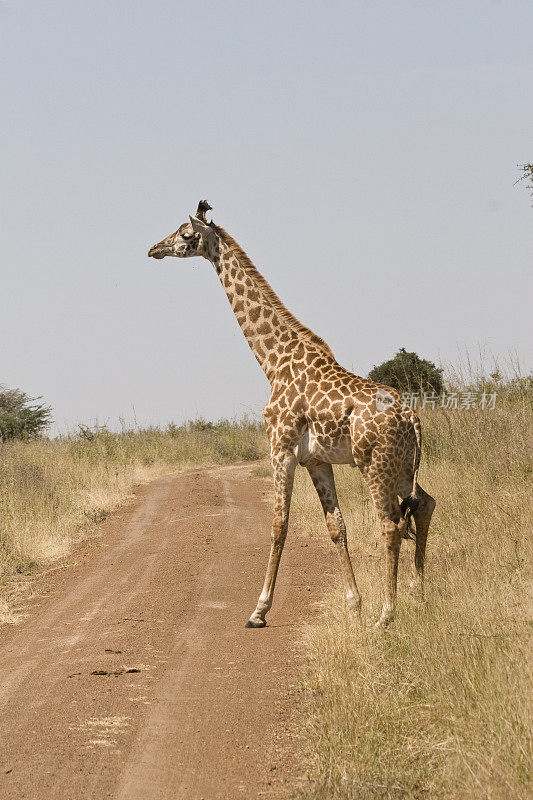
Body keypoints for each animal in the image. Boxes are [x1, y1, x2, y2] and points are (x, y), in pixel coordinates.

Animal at [148, 203, 434, 628]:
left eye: (185, 234)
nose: (154, 249)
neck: (273, 360)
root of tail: (411, 418)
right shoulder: (315, 459)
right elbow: (336, 527)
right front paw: (353, 603)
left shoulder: (279, 447)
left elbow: (278, 525)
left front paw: (259, 610)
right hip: (402, 467)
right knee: (425, 505)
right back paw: (420, 597)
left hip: (374, 465)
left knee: (390, 524)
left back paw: (387, 614)